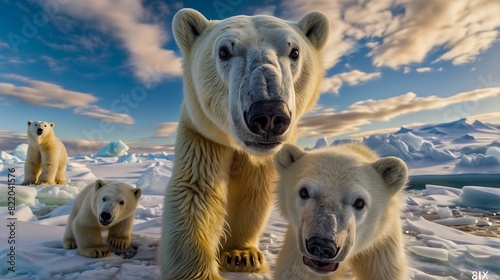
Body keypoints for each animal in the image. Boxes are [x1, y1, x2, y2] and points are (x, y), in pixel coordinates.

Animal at [160, 7, 330, 278]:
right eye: (224, 51)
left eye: (294, 51)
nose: (269, 114)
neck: (239, 146)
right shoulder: (203, 136)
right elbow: (195, 192)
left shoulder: (266, 157)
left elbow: (253, 192)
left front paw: (241, 255)